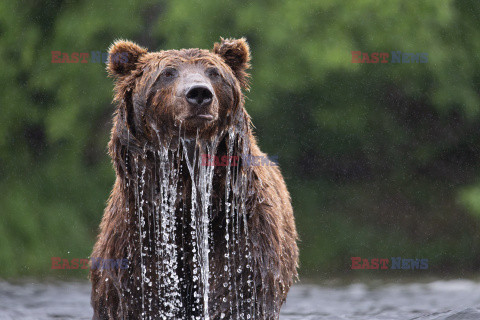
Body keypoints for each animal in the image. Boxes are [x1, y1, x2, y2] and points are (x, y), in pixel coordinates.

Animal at [91, 38, 296, 320]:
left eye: (214, 72)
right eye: (167, 73)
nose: (199, 93)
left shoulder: (239, 232)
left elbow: (237, 292)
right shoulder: (137, 241)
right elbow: (134, 298)